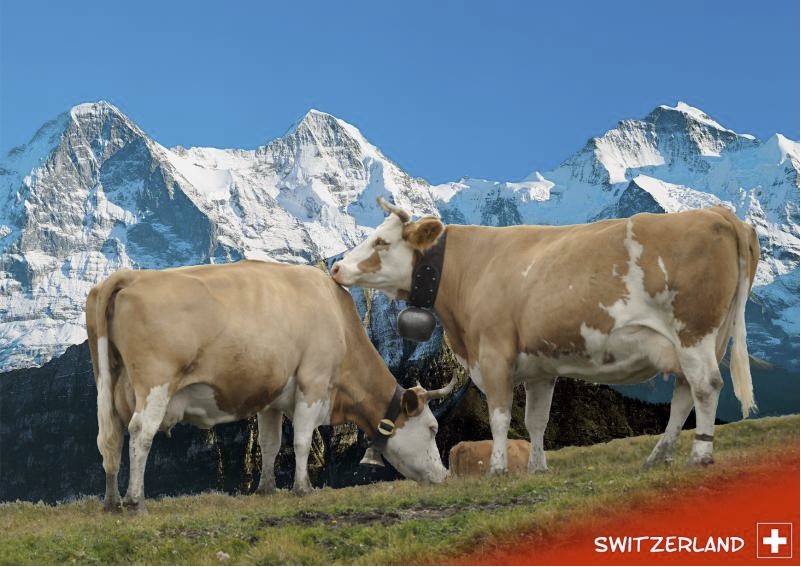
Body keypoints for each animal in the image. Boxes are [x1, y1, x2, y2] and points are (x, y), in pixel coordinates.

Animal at [86, 260, 453, 513]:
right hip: (155, 383)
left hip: (108, 382)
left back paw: (111, 501)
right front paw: (303, 488)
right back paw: (135, 501)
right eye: (432, 428)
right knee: (140, 433)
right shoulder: (312, 381)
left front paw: (267, 488)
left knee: (110, 438)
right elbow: (302, 440)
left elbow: (271, 443)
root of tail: (131, 275)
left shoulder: (272, 399)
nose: (444, 475)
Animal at [330, 198, 760, 475]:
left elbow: (500, 416)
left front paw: (499, 469)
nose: (336, 267)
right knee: (685, 395)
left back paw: (699, 455)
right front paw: (538, 467)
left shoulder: (495, 352)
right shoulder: (540, 369)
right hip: (701, 341)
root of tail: (719, 213)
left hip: (694, 331)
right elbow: (536, 420)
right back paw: (658, 456)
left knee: (706, 386)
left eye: (381, 242)